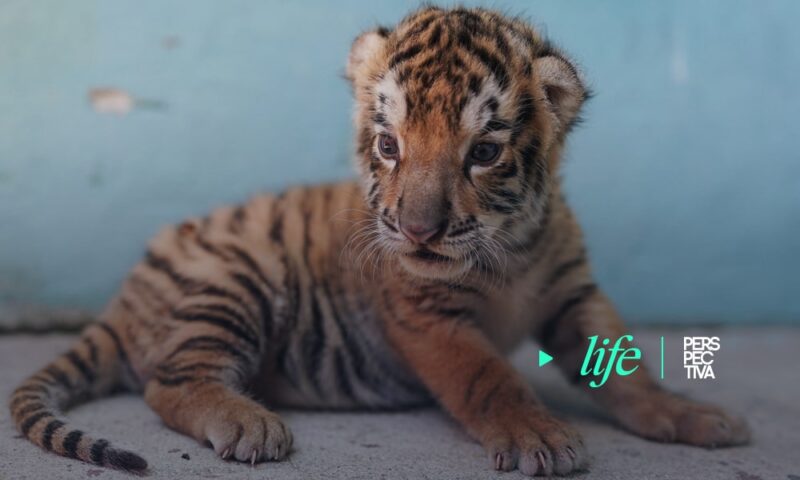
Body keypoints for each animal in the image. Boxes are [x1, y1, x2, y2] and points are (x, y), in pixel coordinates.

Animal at [9, 6, 750, 477]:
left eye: (484, 152)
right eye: (389, 146)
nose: (419, 231)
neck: (509, 252)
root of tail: (123, 296)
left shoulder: (574, 293)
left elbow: (627, 370)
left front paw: (691, 415)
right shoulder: (428, 317)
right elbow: (490, 378)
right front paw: (539, 433)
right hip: (235, 279)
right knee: (171, 380)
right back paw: (251, 423)